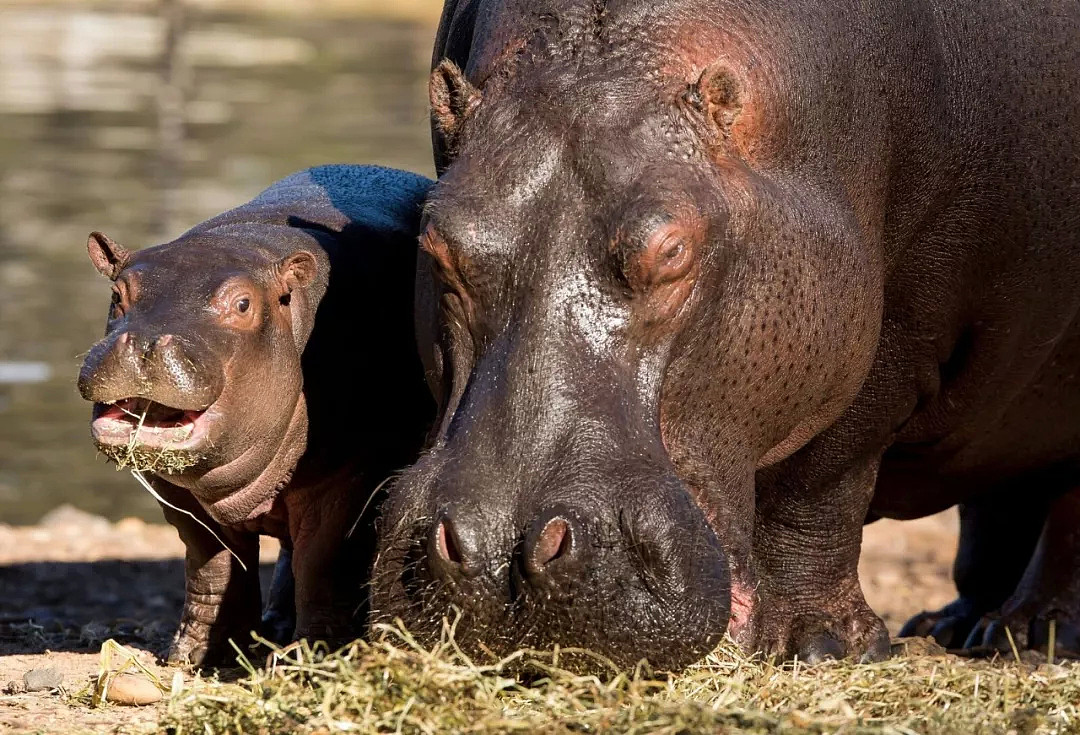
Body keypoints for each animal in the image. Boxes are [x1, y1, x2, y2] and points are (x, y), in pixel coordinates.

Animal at [76, 166, 434, 664]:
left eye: (243, 304)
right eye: (117, 294)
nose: (145, 343)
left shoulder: (344, 480)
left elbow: (321, 565)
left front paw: (313, 657)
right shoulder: (179, 495)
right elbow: (212, 566)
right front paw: (197, 656)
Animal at [367, 0, 1075, 664]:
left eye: (672, 250)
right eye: (436, 245)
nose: (499, 557)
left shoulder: (891, 336)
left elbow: (820, 482)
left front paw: (817, 645)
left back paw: (1034, 634)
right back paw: (955, 625)